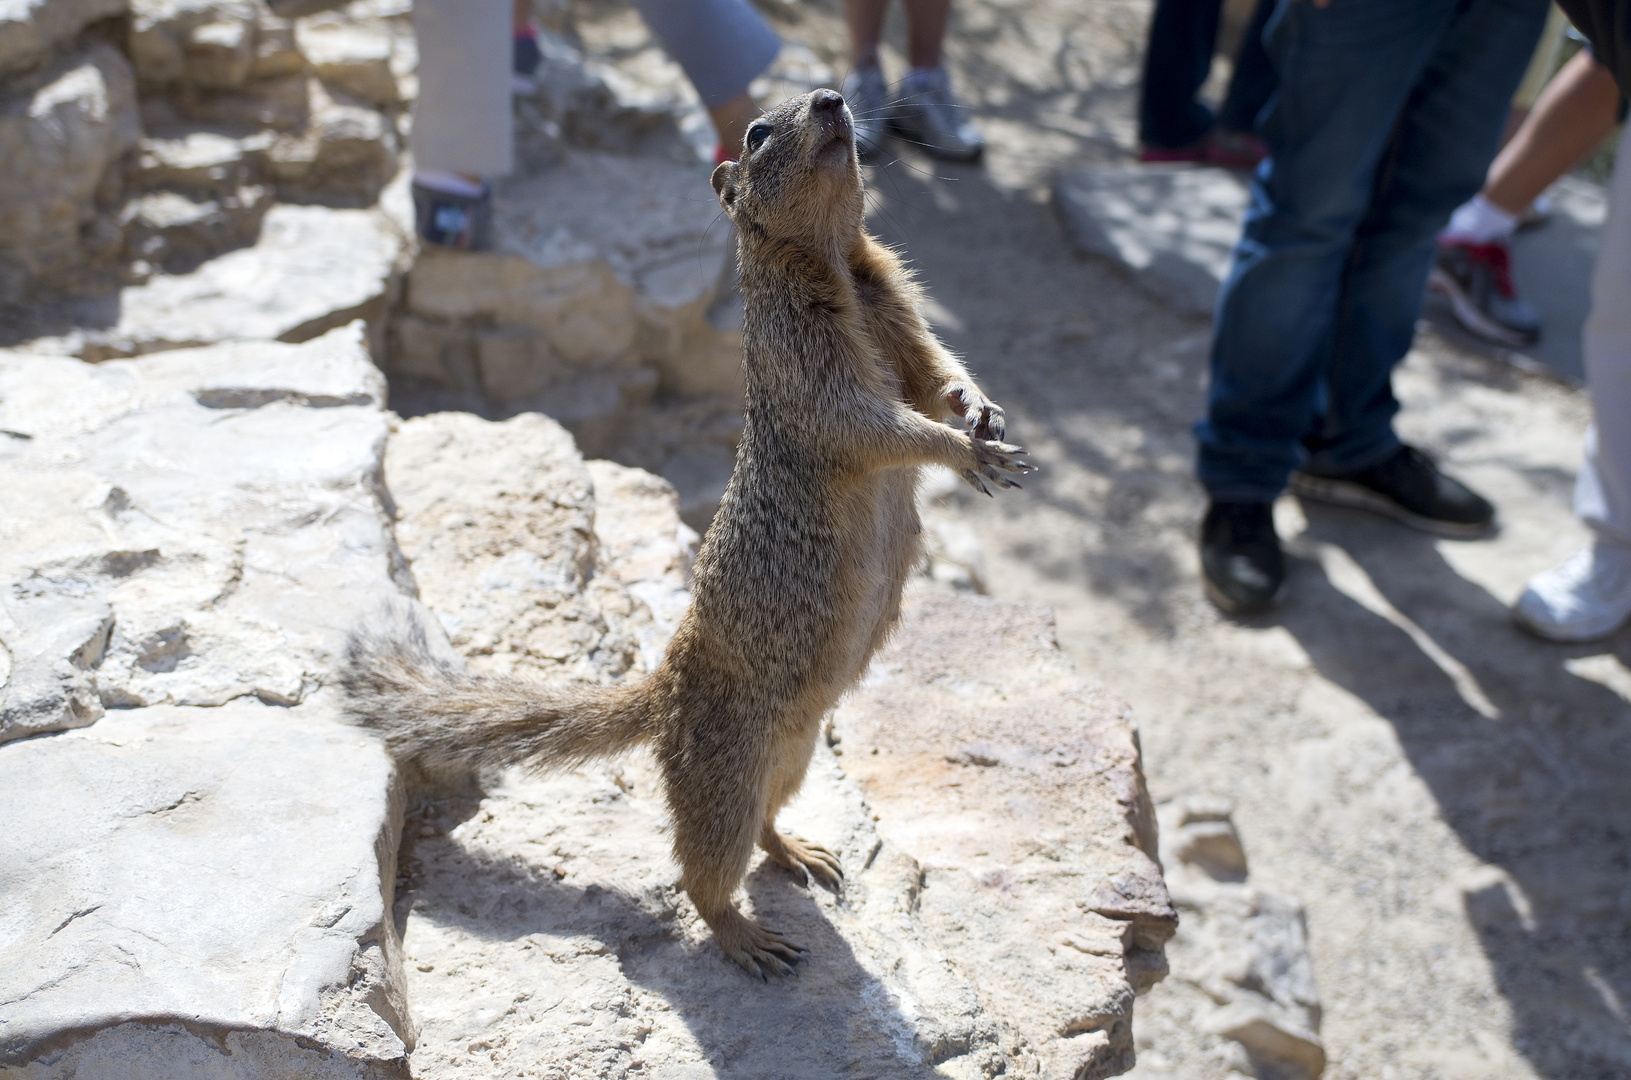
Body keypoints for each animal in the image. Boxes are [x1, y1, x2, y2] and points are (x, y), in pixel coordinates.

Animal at [344, 88, 1030, 978]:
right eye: (758, 131)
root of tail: (664, 682)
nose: (832, 99)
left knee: (764, 826)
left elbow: (938, 373)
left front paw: (982, 412)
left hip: (794, 752)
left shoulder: (899, 309)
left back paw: (804, 853)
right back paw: (751, 940)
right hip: (721, 774)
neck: (834, 258)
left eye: (823, 92)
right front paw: (963, 449)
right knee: (701, 874)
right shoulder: (808, 366)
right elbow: (878, 424)